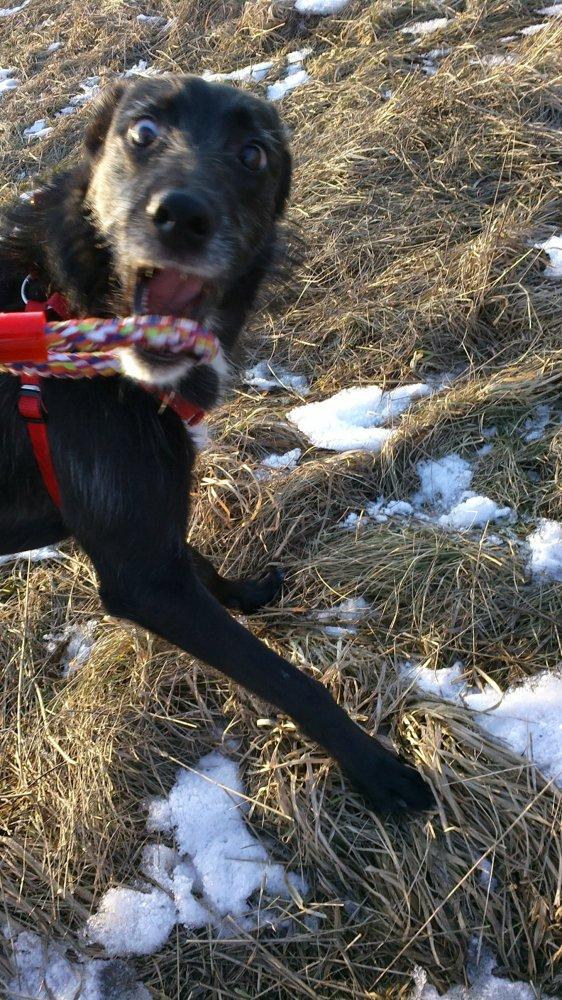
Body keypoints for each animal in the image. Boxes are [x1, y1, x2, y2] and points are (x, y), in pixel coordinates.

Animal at [0, 75, 433, 814]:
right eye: (142, 132)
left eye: (253, 154)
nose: (181, 216)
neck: (72, 307)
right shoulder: (142, 579)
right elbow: (286, 679)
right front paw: (375, 769)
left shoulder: (150, 538)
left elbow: (203, 566)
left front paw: (250, 593)